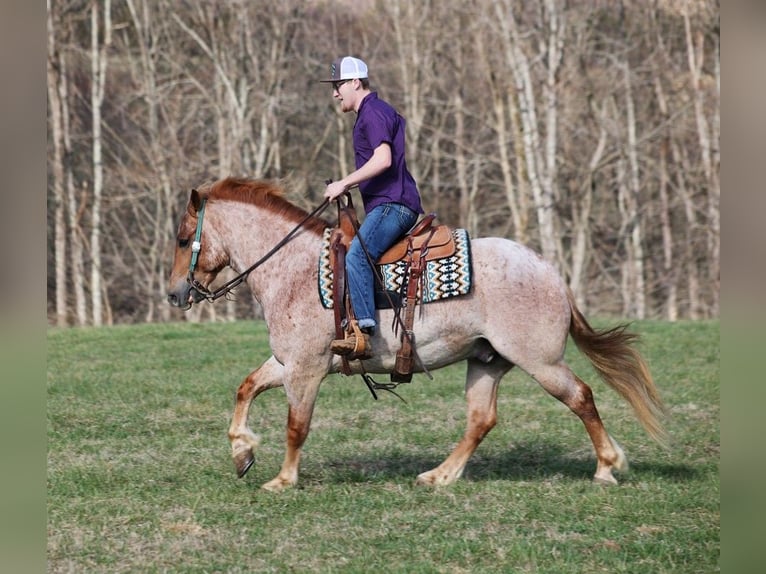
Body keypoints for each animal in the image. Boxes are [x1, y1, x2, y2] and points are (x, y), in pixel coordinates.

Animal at [166, 177, 666, 491]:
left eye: (183, 237)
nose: (174, 294)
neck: (293, 269)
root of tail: (551, 273)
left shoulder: (306, 369)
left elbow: (296, 426)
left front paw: (283, 479)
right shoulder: (287, 362)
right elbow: (245, 388)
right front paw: (242, 452)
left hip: (540, 361)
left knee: (581, 397)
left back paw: (606, 467)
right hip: (487, 361)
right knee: (481, 420)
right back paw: (439, 476)